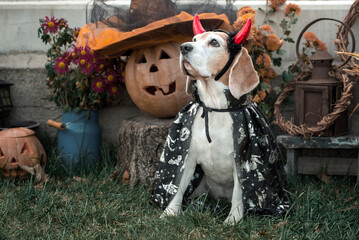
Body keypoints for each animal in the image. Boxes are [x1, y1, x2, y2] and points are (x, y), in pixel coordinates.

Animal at [152, 15, 290, 224]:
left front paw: (233, 220)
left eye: (214, 42)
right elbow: (177, 187)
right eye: (194, 39)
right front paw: (169, 213)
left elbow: (239, 194)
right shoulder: (189, 157)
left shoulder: (240, 161)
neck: (216, 108)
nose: (184, 47)